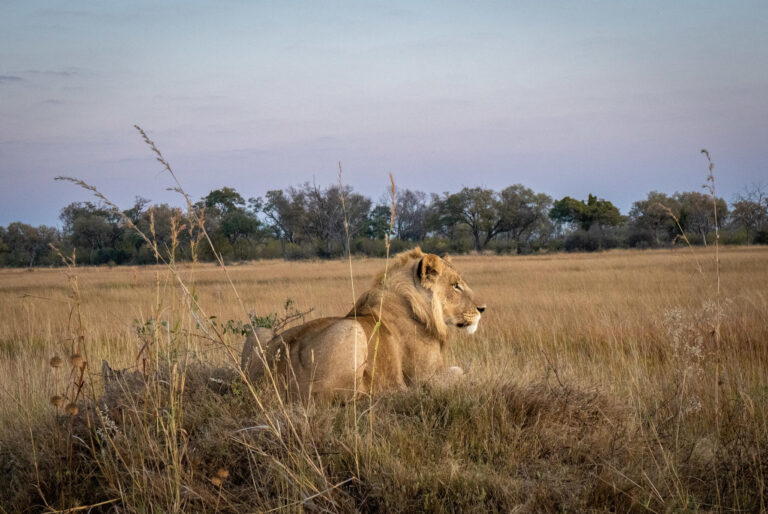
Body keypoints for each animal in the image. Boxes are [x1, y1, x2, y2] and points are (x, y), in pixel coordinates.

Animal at [241, 248, 486, 399]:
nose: (482, 309)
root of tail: (265, 381)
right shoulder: (426, 377)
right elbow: (461, 373)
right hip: (352, 330)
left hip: (260, 331)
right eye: (456, 286)